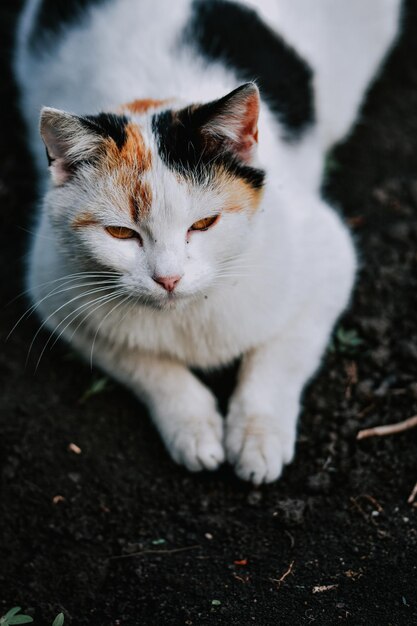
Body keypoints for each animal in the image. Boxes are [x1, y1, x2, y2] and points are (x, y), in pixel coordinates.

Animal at [15, 0, 400, 482]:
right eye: (121, 232)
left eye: (203, 224)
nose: (168, 279)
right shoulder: (60, 300)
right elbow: (146, 364)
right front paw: (193, 429)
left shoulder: (329, 258)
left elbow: (279, 356)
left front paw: (257, 436)